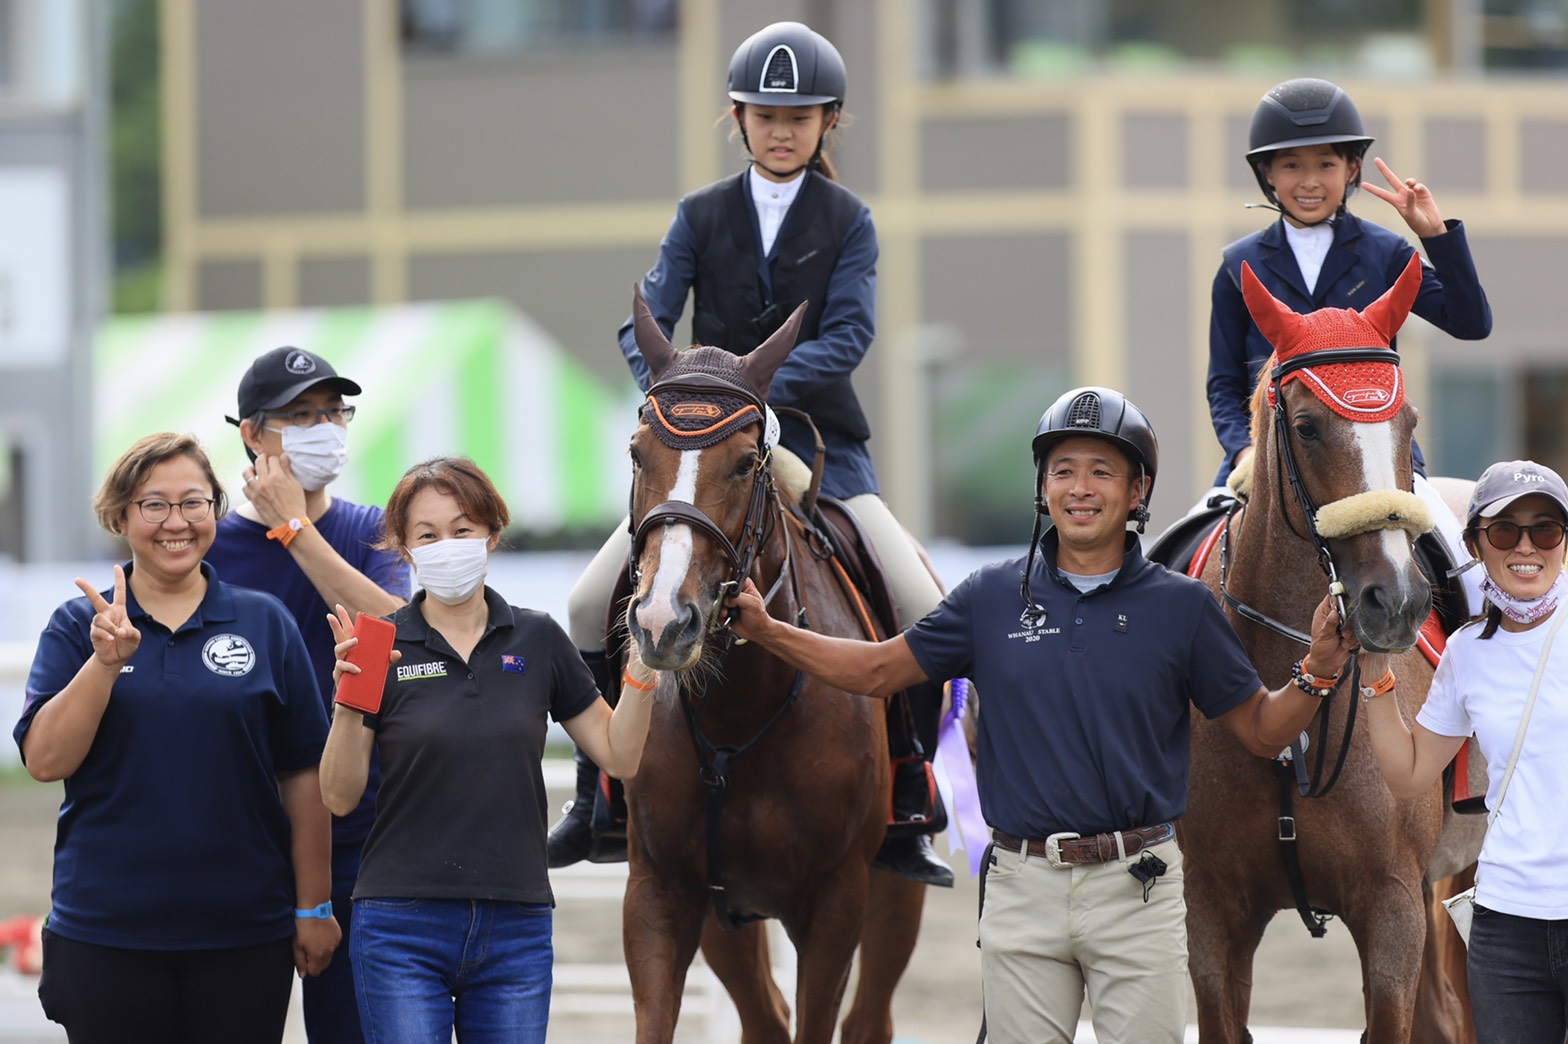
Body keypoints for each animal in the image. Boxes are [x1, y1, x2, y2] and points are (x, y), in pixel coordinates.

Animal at [614, 286, 928, 1040]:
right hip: (727, 917)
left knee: (867, 1018)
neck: (739, 709)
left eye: (743, 462)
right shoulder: (661, 891)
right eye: (637, 454)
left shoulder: (836, 905)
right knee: (764, 1016)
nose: (663, 623)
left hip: (894, 889)